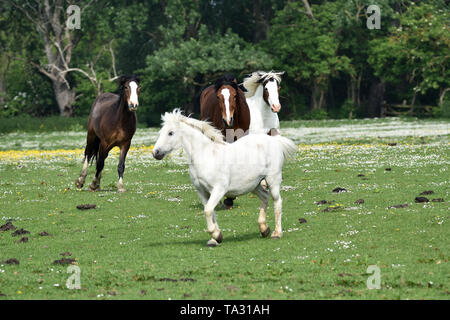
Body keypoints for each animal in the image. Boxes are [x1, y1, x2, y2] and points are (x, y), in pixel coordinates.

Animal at [153, 109, 298, 246]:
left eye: (170, 133)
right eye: (161, 132)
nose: (156, 153)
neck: (206, 156)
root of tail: (275, 141)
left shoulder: (219, 189)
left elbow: (208, 210)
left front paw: (216, 235)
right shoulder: (202, 192)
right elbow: (210, 211)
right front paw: (215, 239)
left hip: (272, 180)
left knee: (277, 202)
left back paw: (276, 233)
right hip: (254, 185)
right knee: (265, 197)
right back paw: (264, 229)